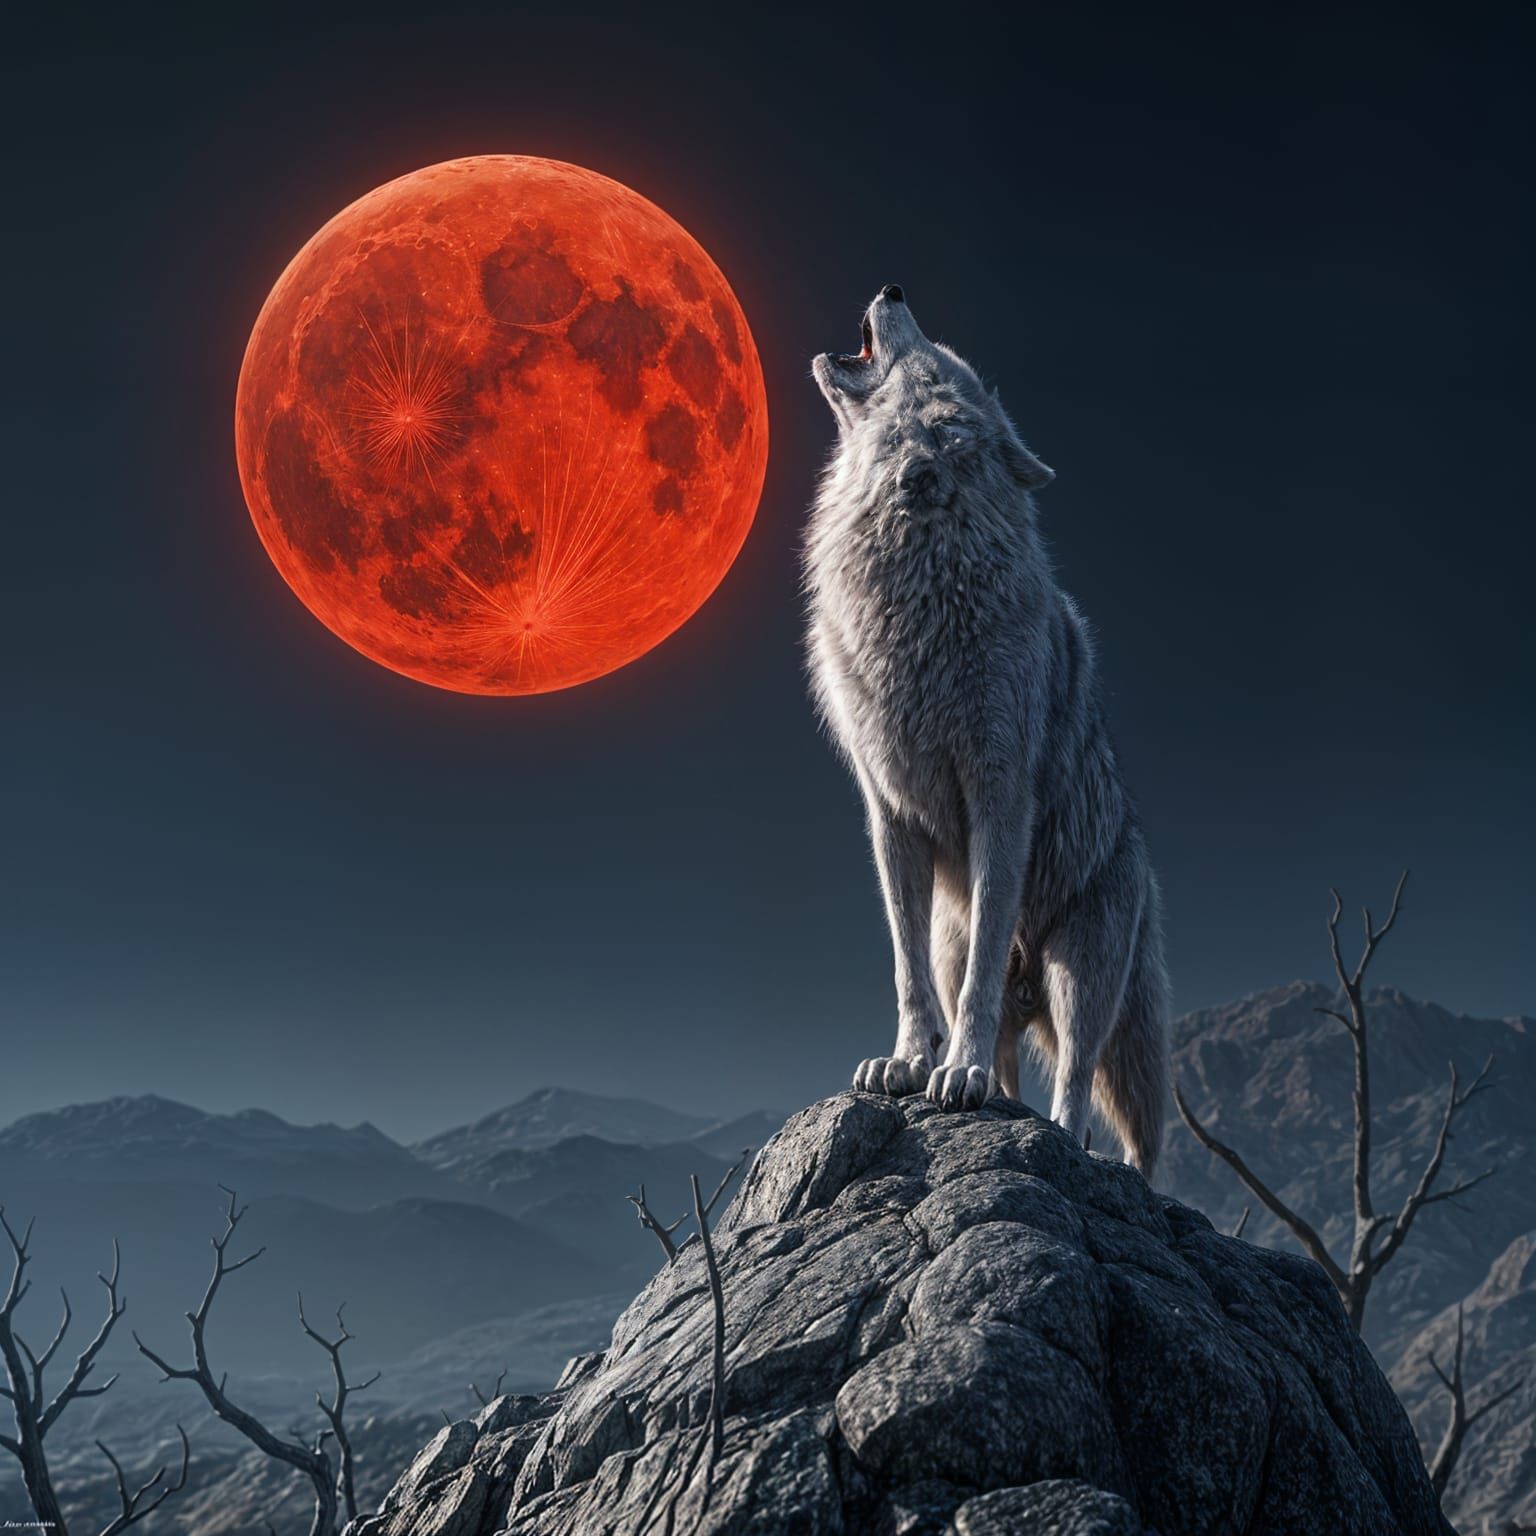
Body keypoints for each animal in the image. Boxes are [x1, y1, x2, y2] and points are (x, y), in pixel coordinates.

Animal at [804, 285, 1169, 1174]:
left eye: (938, 357)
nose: (893, 288)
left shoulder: (999, 796)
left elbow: (976, 993)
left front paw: (955, 1068)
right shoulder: (887, 810)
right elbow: (907, 971)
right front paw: (910, 1062)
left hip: (1086, 973)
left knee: (1084, 1086)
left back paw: (1071, 1141)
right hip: (959, 933)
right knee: (1007, 1051)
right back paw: (985, 1092)